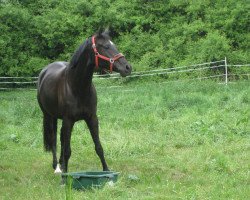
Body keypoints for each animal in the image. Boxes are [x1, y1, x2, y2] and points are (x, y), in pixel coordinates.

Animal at [36, 30, 132, 174]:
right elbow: (67, 151)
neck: (77, 87)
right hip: (49, 116)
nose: (127, 67)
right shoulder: (68, 120)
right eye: (105, 46)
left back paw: (61, 164)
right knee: (53, 138)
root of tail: (44, 71)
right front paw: (65, 175)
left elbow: (98, 147)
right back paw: (57, 167)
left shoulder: (92, 118)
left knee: (61, 138)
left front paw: (106, 170)